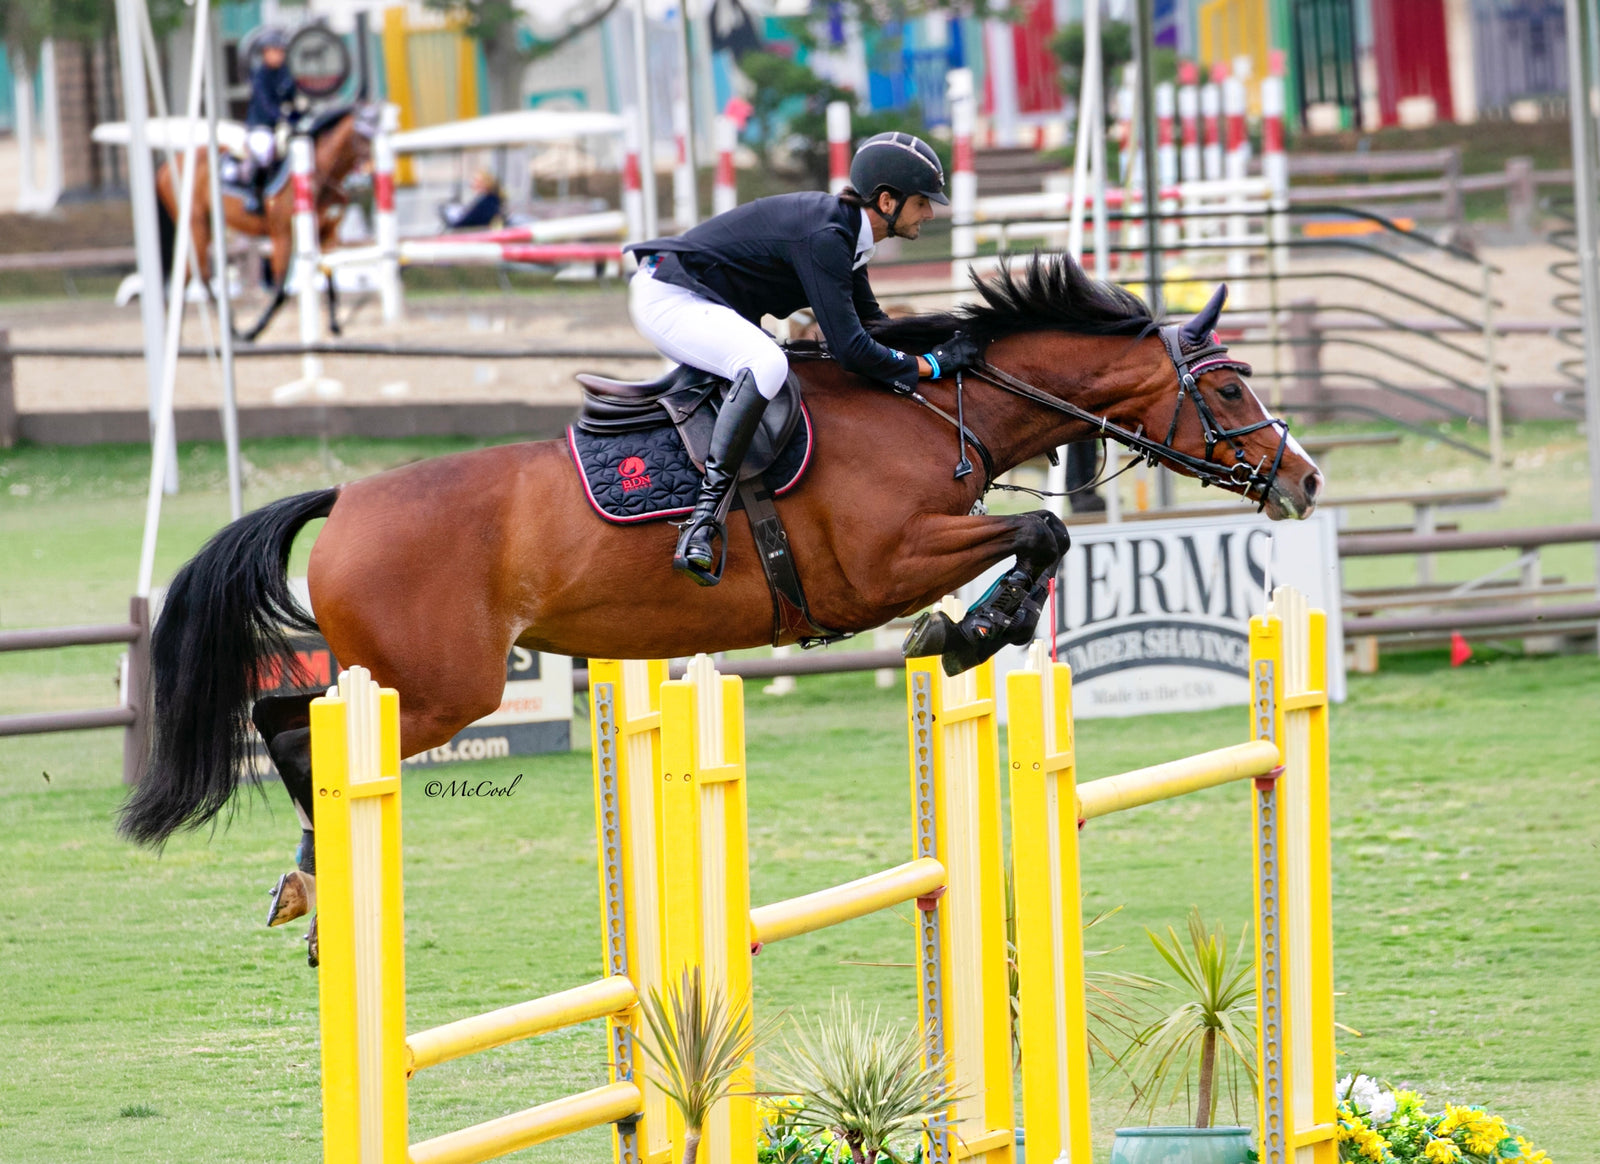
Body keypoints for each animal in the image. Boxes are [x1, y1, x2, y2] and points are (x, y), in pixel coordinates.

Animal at [117, 255, 1322, 959]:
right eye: (1226, 387)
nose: (1303, 481)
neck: (927, 408)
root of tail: (349, 496)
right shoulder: (880, 565)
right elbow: (1038, 536)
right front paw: (967, 631)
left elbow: (1046, 539)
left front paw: (981, 631)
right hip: (438, 691)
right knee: (291, 731)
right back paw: (312, 896)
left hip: (411, 684)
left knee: (284, 725)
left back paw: (304, 893)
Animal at [155, 104, 377, 343]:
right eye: (362, 136)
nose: (372, 170)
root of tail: (166, 168)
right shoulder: (283, 235)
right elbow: (280, 291)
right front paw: (255, 330)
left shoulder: (328, 233)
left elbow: (330, 278)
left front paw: (335, 325)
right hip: (196, 223)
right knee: (201, 274)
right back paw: (232, 331)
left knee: (187, 274)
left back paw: (179, 333)